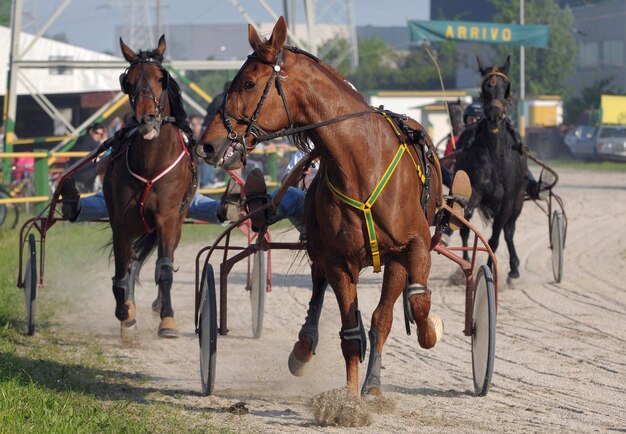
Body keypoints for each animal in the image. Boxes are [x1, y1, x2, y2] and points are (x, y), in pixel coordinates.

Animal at [103, 35, 195, 338]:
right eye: (128, 81)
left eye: (160, 78)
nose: (146, 119)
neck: (150, 165)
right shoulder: (121, 223)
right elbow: (122, 271)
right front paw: (125, 313)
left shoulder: (167, 219)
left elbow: (164, 269)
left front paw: (168, 320)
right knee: (131, 263)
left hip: (177, 220)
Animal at [199, 16, 444, 396]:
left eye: (248, 83)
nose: (207, 145)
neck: (363, 164)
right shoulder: (338, 260)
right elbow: (350, 334)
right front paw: (349, 399)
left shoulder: (411, 247)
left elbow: (406, 308)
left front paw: (426, 333)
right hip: (320, 245)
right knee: (317, 285)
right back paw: (303, 347)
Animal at [454, 56, 528, 282]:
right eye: (486, 87)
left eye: (505, 86)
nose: (494, 114)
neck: (496, 154)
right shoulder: (476, 190)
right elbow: (465, 222)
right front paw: (466, 265)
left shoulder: (508, 200)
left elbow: (495, 237)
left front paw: (489, 270)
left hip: (519, 201)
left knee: (509, 230)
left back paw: (514, 268)